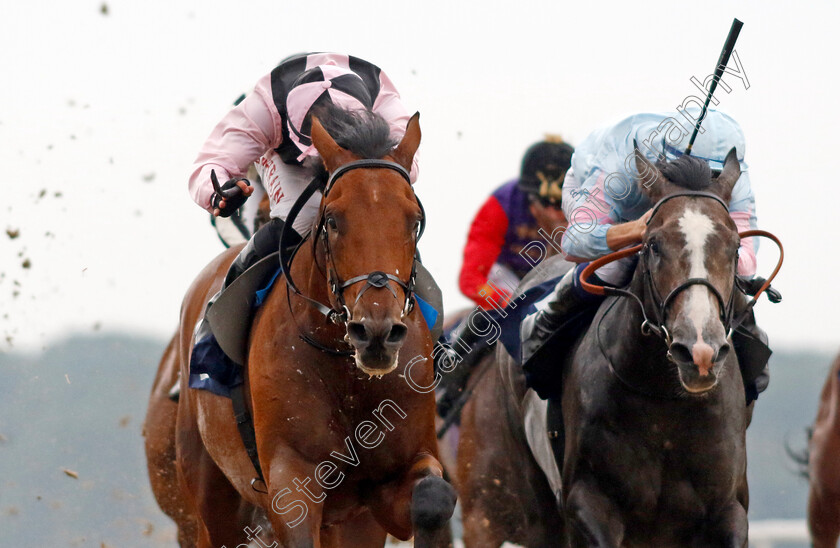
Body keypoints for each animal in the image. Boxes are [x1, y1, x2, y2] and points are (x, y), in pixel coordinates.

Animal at [148, 108, 456, 548]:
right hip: (210, 495)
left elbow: (432, 496)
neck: (348, 374)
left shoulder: (391, 481)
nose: (376, 331)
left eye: (413, 221)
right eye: (333, 220)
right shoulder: (292, 480)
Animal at [460, 148, 776, 544]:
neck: (664, 400)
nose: (700, 351)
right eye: (653, 244)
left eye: (735, 248)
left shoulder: (728, 509)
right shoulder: (588, 502)